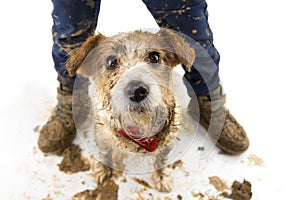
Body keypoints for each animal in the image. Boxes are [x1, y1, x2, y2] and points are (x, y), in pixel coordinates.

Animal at [67, 28, 196, 192]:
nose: (137, 91)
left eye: (154, 57)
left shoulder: (168, 142)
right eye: (111, 62)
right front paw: (103, 169)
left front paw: (161, 177)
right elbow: (105, 153)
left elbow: (161, 159)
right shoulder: (102, 135)